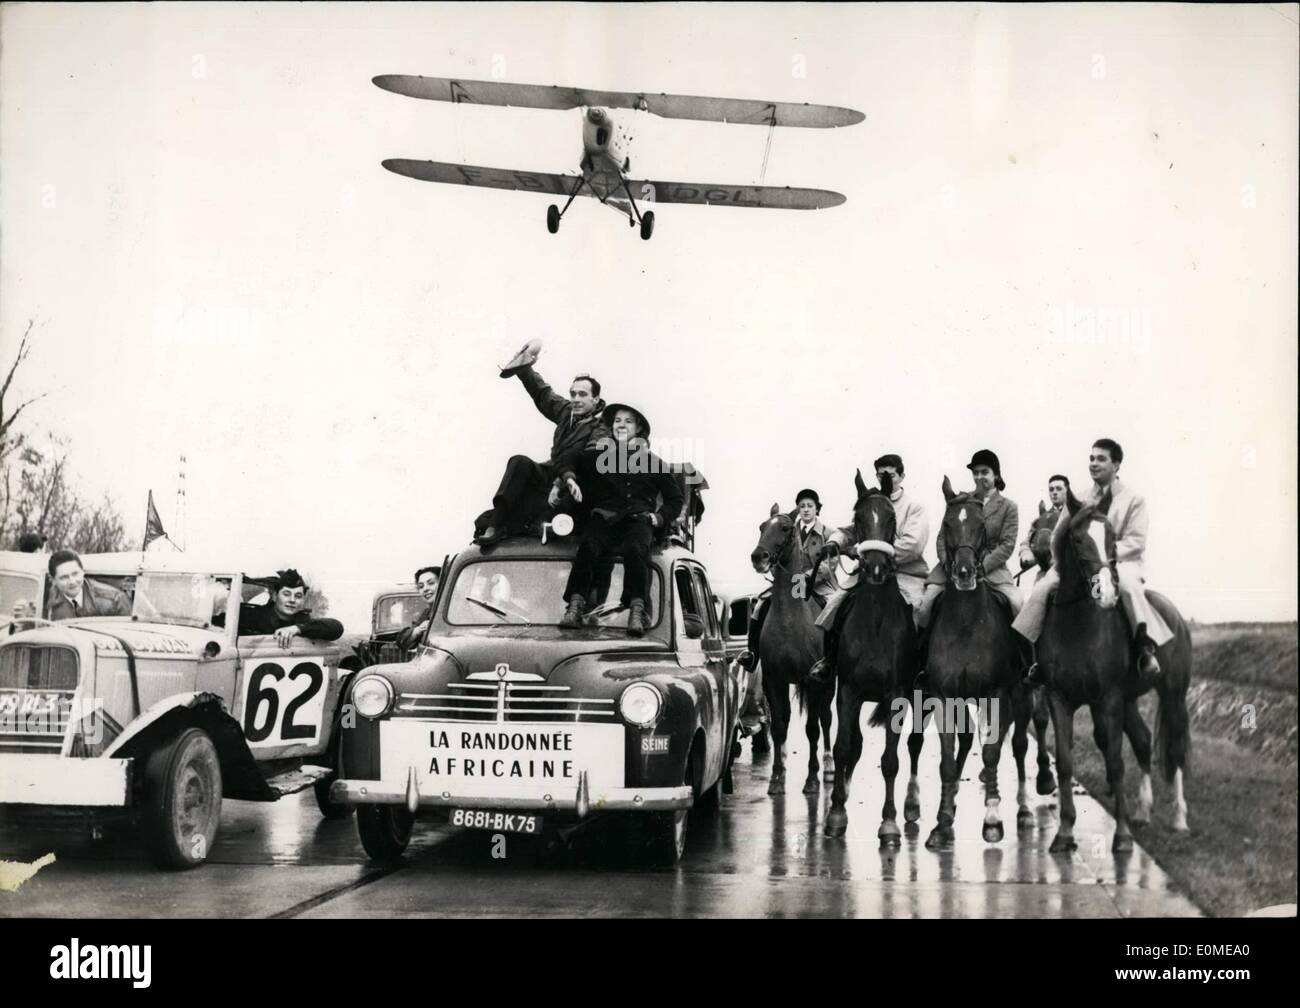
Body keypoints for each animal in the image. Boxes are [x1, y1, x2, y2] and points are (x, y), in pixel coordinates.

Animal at [748, 504, 837, 795]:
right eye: (762, 526)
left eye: (785, 528)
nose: (758, 557)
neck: (790, 620)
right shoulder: (773, 680)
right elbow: (778, 726)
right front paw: (777, 777)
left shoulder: (812, 681)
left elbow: (812, 729)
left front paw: (812, 779)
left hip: (828, 683)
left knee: (825, 719)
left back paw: (829, 766)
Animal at [816, 473, 920, 842]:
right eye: (858, 518)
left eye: (891, 518)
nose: (874, 568)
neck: (875, 622)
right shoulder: (848, 691)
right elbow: (844, 748)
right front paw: (835, 813)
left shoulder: (895, 697)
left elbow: (890, 760)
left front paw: (889, 823)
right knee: (856, 745)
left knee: (911, 746)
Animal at [930, 481, 1040, 853]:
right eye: (947, 523)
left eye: (982, 526)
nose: (964, 574)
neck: (966, 622)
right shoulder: (945, 697)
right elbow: (948, 760)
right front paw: (942, 822)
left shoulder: (996, 694)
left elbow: (992, 753)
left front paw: (992, 821)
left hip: (1022, 697)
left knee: (1019, 747)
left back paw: (1024, 812)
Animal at [1034, 489, 1190, 853]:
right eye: (1078, 538)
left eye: (1111, 537)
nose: (1104, 592)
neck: (1078, 625)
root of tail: (1174, 614)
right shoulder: (1059, 698)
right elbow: (1065, 762)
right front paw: (1065, 832)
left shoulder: (1108, 698)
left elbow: (1117, 762)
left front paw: (1122, 835)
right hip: (1130, 699)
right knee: (1144, 742)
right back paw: (1144, 810)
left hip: (1173, 694)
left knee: (1176, 749)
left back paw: (1178, 817)